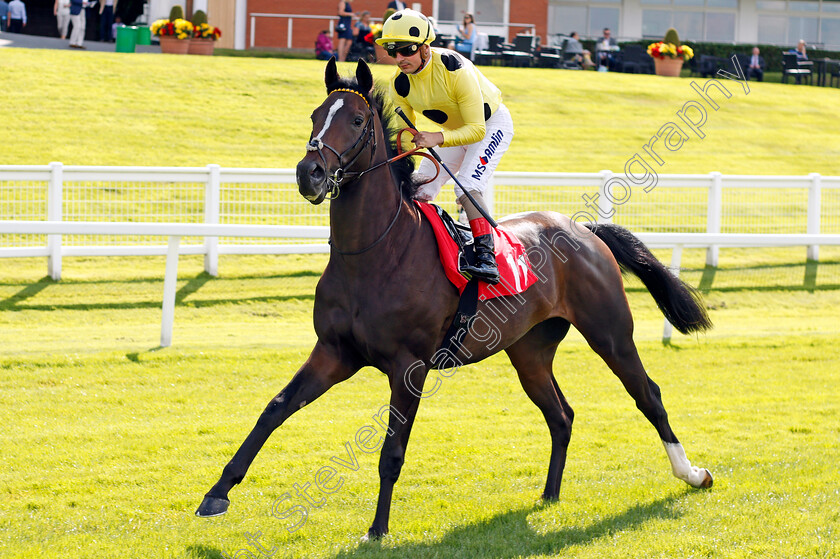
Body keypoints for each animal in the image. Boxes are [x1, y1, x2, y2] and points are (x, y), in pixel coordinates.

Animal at [197, 59, 716, 540]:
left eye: (358, 121)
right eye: (315, 115)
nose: (310, 173)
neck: (374, 254)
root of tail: (584, 230)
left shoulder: (409, 365)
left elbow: (391, 451)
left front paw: (377, 529)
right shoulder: (334, 353)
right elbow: (274, 409)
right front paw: (217, 494)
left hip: (610, 334)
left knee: (649, 396)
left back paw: (692, 474)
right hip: (530, 351)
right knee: (561, 414)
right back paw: (549, 494)